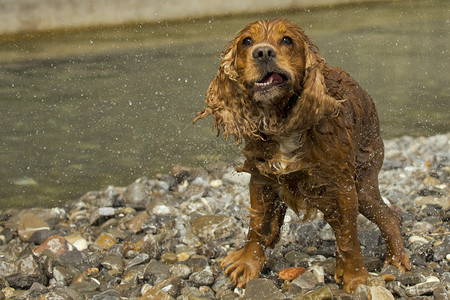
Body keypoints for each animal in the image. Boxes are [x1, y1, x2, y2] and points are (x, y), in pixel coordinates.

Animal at [193, 18, 408, 290]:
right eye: (246, 41)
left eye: (287, 40)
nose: (263, 52)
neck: (281, 121)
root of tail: (366, 96)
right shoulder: (262, 179)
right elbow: (257, 225)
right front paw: (247, 263)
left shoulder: (342, 185)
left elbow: (349, 235)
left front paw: (356, 276)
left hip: (363, 183)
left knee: (389, 216)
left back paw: (396, 258)